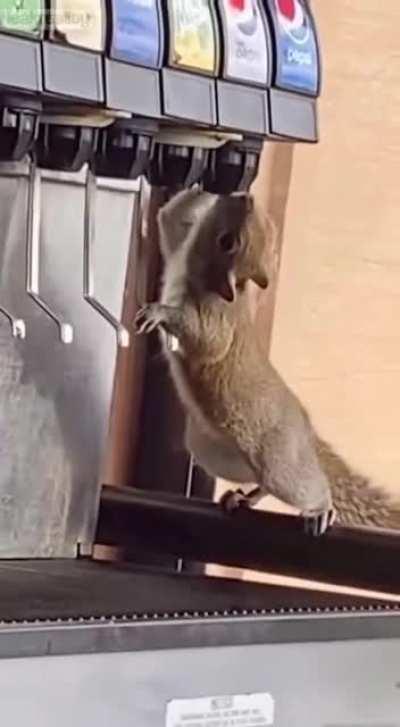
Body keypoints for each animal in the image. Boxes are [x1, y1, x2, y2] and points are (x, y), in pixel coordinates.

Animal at [136, 188, 400, 536]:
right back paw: (242, 498)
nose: (244, 196)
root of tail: (307, 433)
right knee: (259, 483)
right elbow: (169, 220)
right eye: (268, 227)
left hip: (279, 462)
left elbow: (208, 342)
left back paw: (321, 509)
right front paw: (198, 192)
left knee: (304, 485)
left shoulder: (218, 318)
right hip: (217, 455)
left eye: (229, 242)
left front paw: (160, 313)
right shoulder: (178, 247)